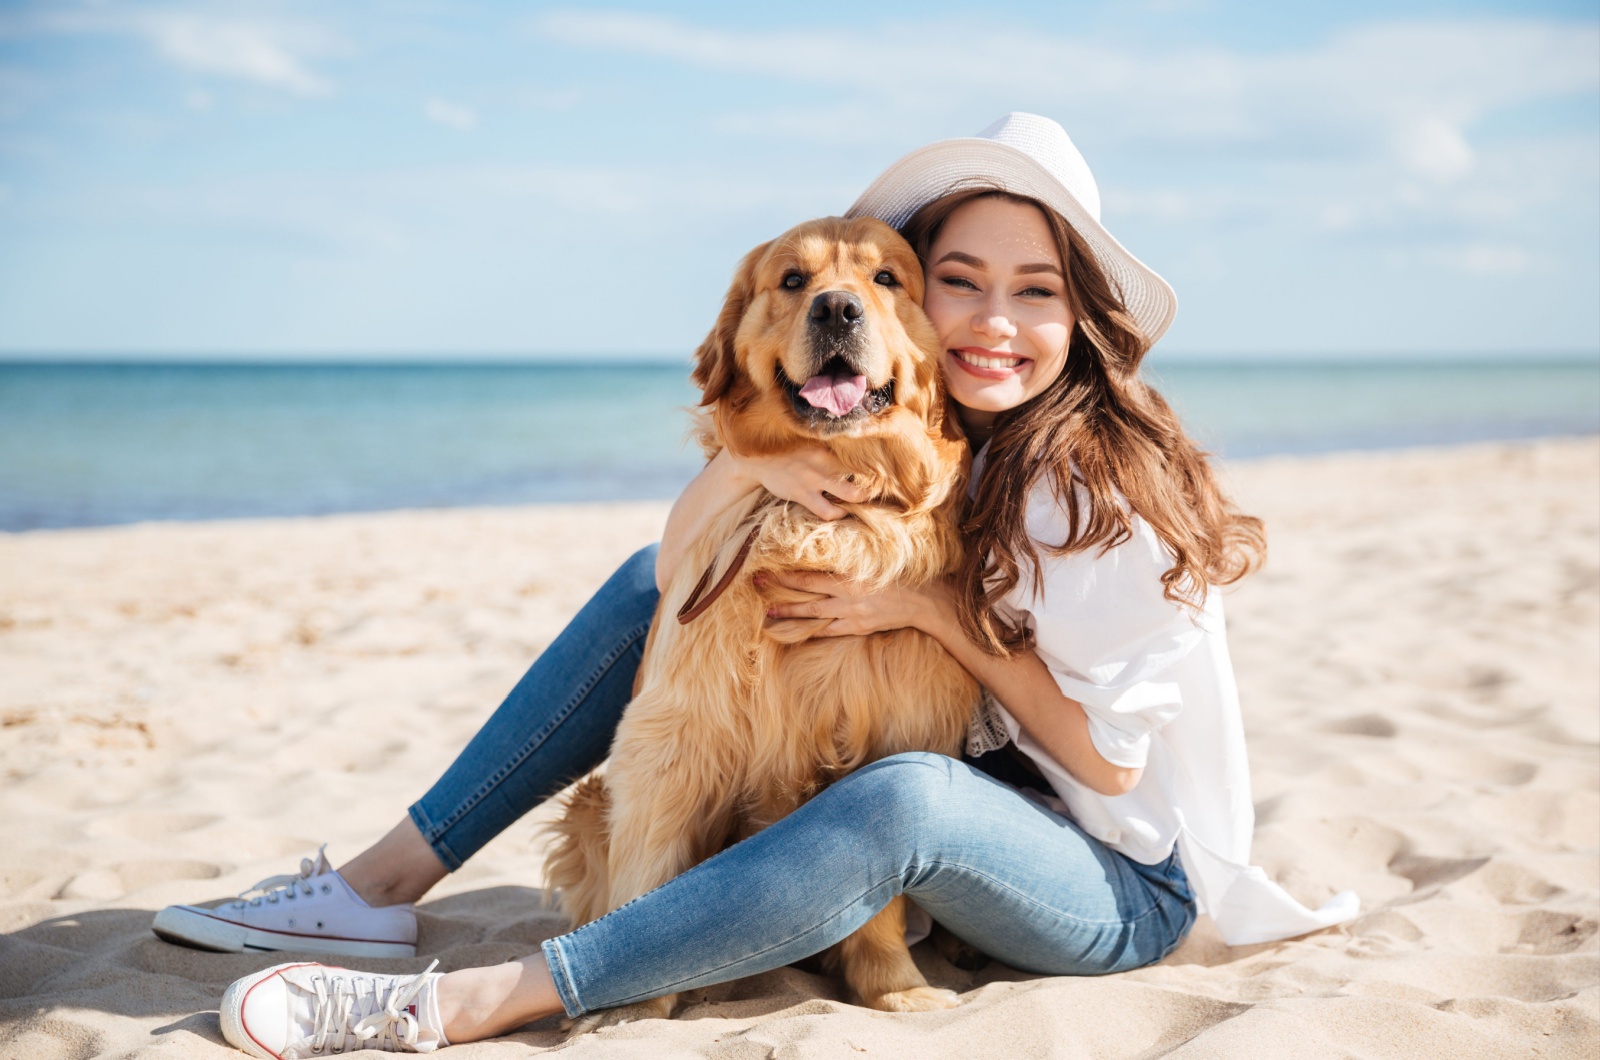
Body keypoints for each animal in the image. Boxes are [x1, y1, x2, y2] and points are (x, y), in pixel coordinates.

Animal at [547, 214, 972, 1031]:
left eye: (887, 279)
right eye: (793, 280)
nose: (837, 308)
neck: (823, 506)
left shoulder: (886, 738)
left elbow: (881, 901)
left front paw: (896, 987)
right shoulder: (673, 735)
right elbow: (649, 879)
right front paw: (629, 1009)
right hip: (589, 805)